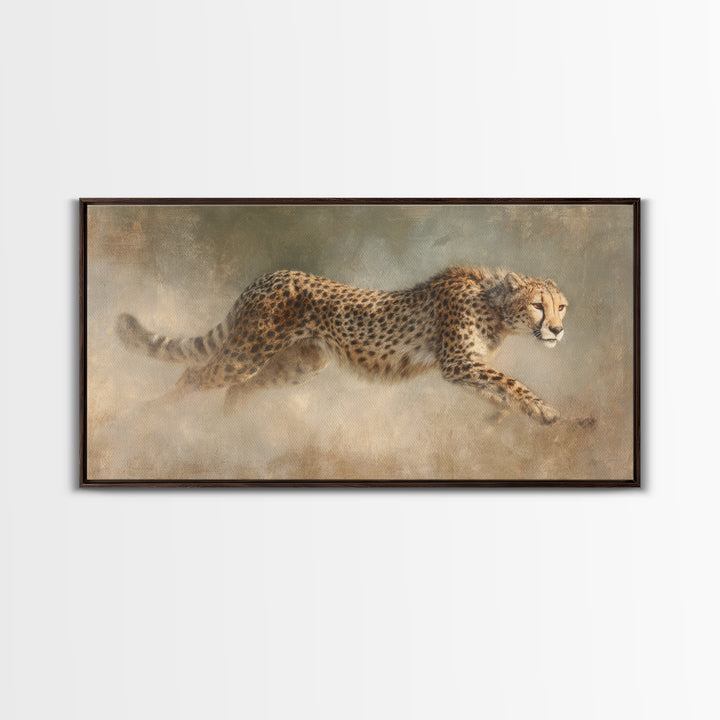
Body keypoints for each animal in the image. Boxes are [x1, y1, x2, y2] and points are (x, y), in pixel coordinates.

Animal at [115, 265, 595, 426]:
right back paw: (149, 418)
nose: (557, 331)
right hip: (248, 351)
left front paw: (528, 417)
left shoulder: (465, 369)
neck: (494, 305)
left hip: (301, 364)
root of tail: (268, 276)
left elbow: (499, 390)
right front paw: (547, 411)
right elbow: (511, 382)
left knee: (239, 389)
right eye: (537, 306)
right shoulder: (458, 362)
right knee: (194, 374)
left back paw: (228, 432)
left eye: (562, 307)